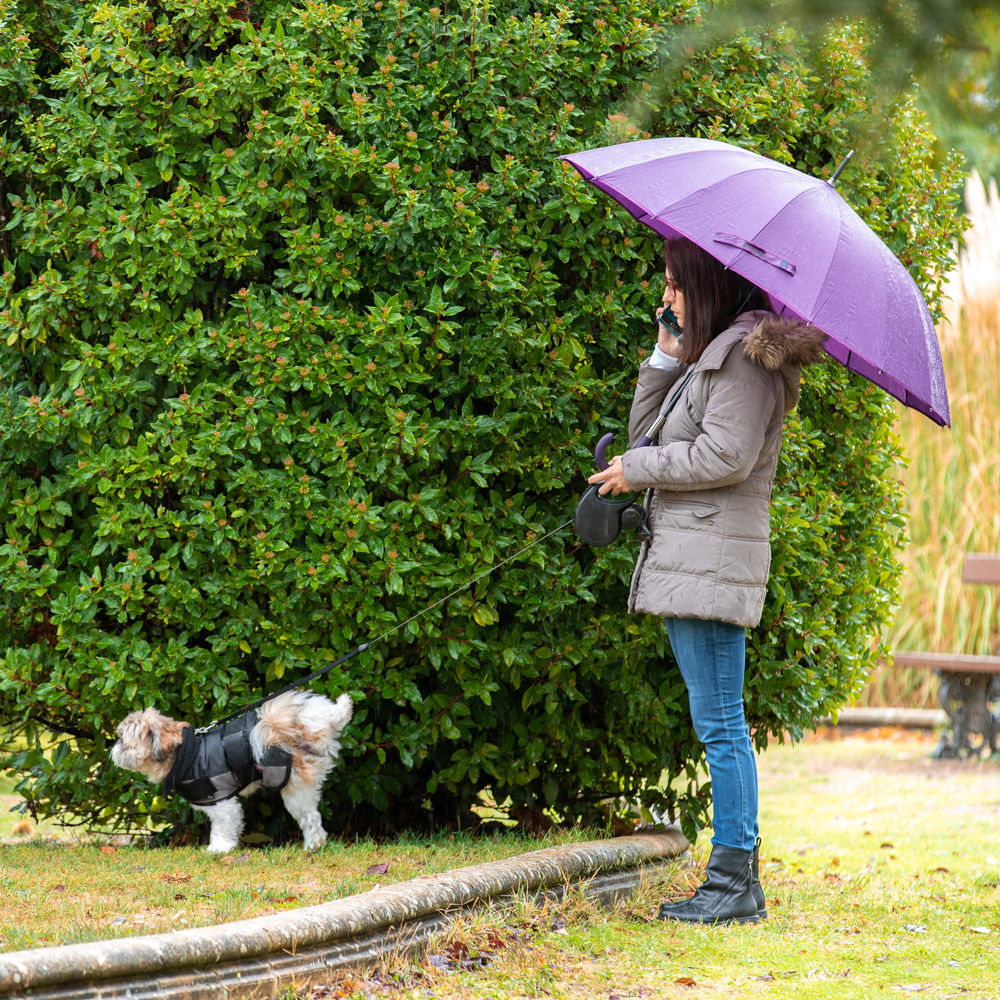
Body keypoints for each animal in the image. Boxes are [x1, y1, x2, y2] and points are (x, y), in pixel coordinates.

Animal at [111, 696, 354, 852]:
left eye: (123, 740)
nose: (114, 746)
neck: (184, 753)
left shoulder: (221, 801)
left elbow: (222, 827)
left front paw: (218, 848)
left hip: (295, 790)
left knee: (311, 818)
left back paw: (313, 845)